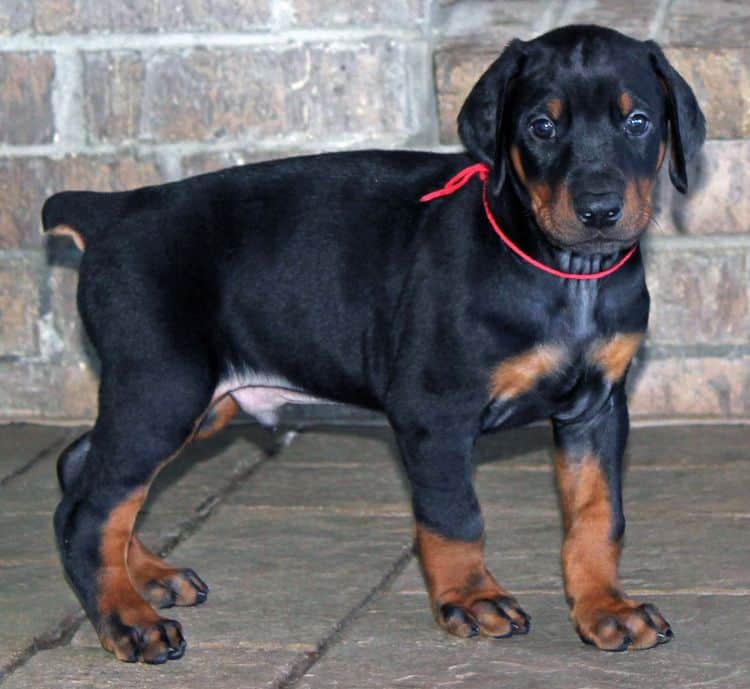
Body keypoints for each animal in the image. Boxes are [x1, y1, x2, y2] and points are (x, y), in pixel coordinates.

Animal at [45, 25, 704, 660]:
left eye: (638, 122)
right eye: (542, 126)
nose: (599, 210)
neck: (562, 271)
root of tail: (113, 210)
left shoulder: (597, 408)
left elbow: (598, 517)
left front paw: (605, 610)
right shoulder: (433, 409)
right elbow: (455, 516)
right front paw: (471, 599)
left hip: (199, 400)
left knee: (84, 469)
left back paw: (148, 577)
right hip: (164, 386)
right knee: (89, 510)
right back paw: (129, 622)